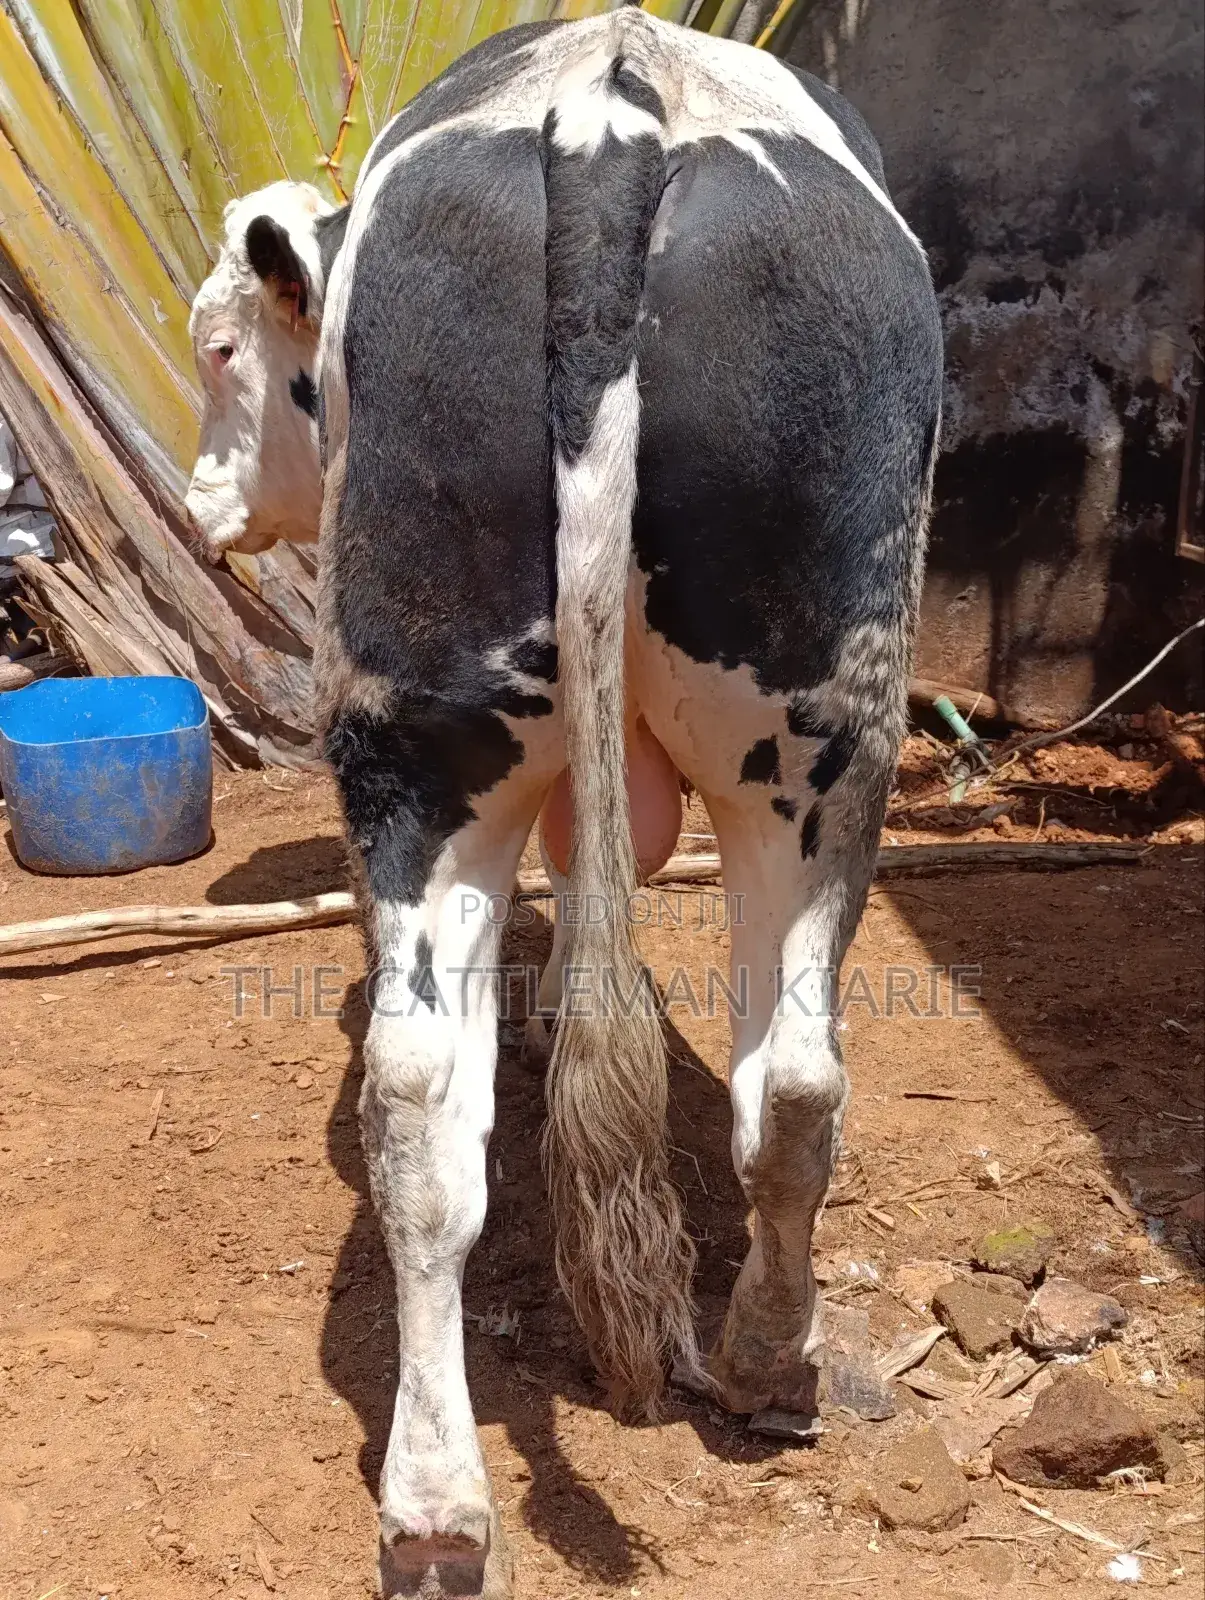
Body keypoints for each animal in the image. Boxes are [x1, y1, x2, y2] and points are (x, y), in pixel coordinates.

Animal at [185, 11, 941, 1596]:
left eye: (221, 347)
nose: (200, 504)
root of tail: (611, 112)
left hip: (483, 735)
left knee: (455, 1095)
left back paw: (452, 1490)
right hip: (788, 741)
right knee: (752, 1082)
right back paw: (746, 1372)